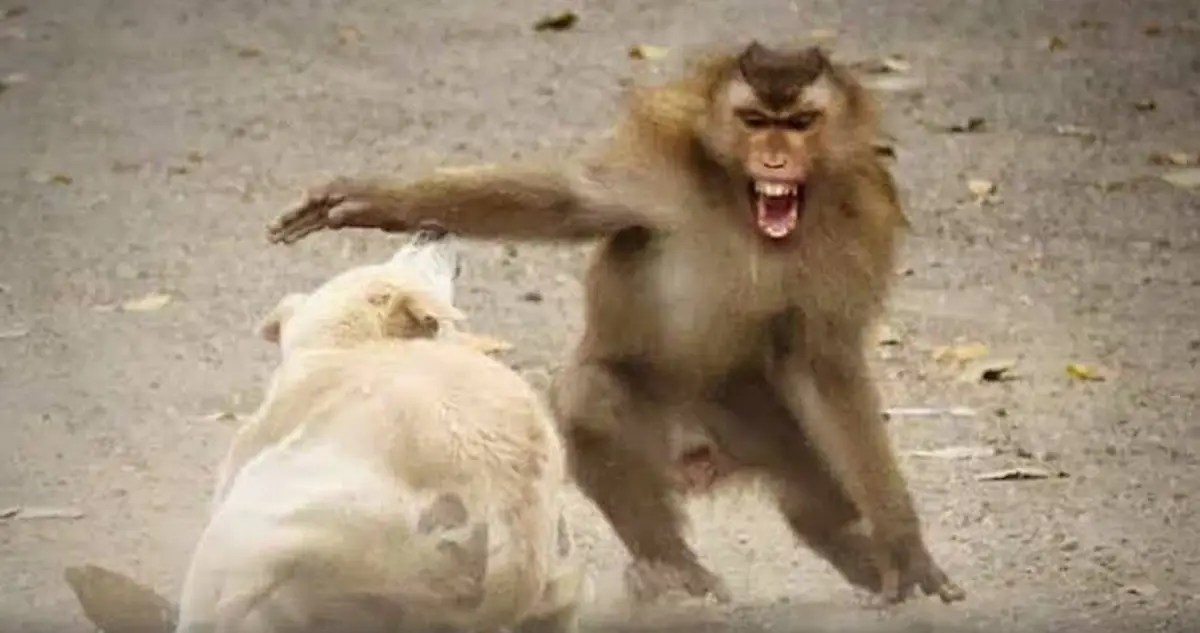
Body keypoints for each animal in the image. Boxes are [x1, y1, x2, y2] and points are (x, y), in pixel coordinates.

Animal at [265, 40, 965, 607]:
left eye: (799, 123)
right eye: (755, 122)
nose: (772, 160)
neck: (747, 215)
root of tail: (701, 453)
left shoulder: (857, 222)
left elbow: (824, 361)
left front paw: (903, 545)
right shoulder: (657, 176)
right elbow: (571, 200)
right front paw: (374, 201)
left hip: (766, 420)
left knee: (819, 498)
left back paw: (853, 550)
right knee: (593, 398)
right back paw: (676, 570)